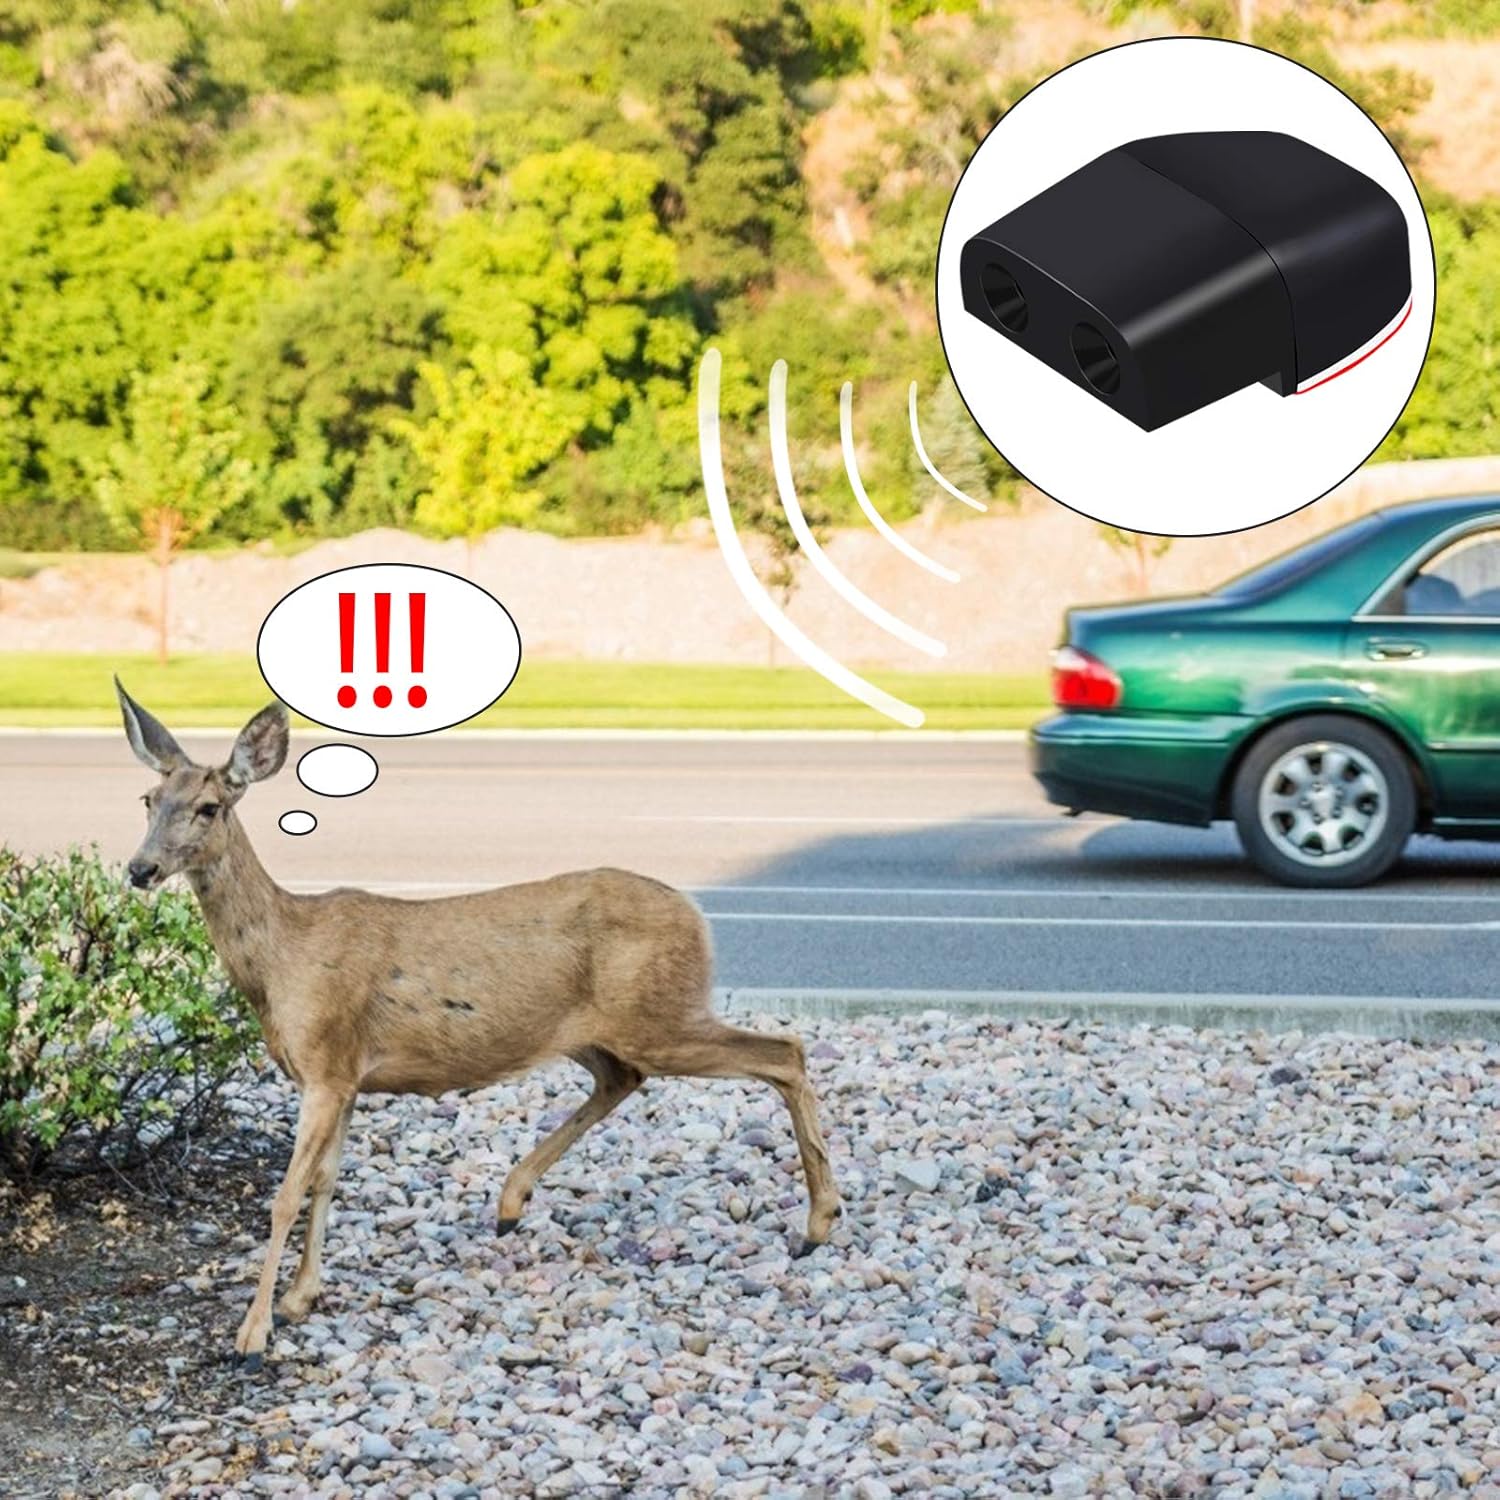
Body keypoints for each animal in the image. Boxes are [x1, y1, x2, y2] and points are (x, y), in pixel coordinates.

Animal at [115, 680, 840, 1371]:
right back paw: (511, 1204)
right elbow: (326, 1180)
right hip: (598, 1031)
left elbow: (286, 1195)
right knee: (625, 1078)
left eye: (210, 807)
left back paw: (819, 1223)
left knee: (784, 1051)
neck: (281, 961)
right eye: (149, 798)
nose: (140, 868)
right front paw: (300, 1297)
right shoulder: (345, 1075)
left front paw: (252, 1334)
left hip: (660, 1016)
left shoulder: (324, 1063)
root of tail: (698, 918)